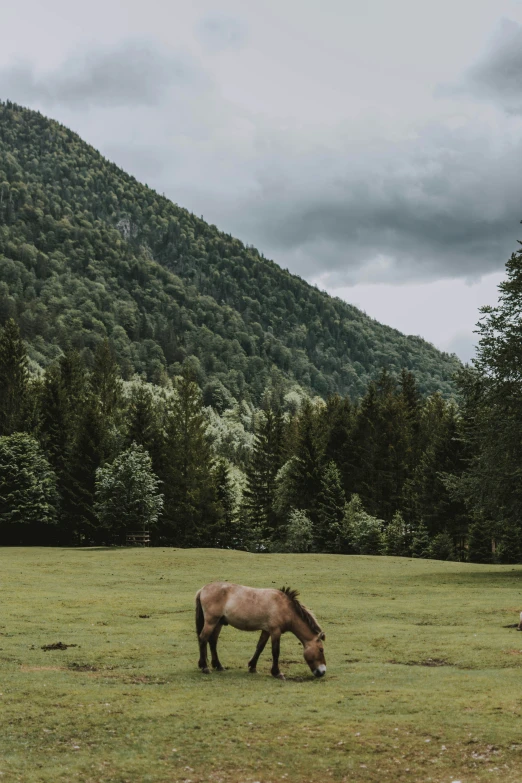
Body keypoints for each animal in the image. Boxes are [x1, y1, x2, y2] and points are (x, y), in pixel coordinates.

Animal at [195, 580, 324, 680]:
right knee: (203, 639)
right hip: (211, 622)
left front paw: (252, 667)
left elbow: (260, 647)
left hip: (219, 623)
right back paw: (204, 667)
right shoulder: (275, 631)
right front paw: (277, 673)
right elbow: (275, 651)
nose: (322, 672)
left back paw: (219, 666)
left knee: (212, 641)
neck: (284, 607)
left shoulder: (266, 631)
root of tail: (202, 589)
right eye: (321, 650)